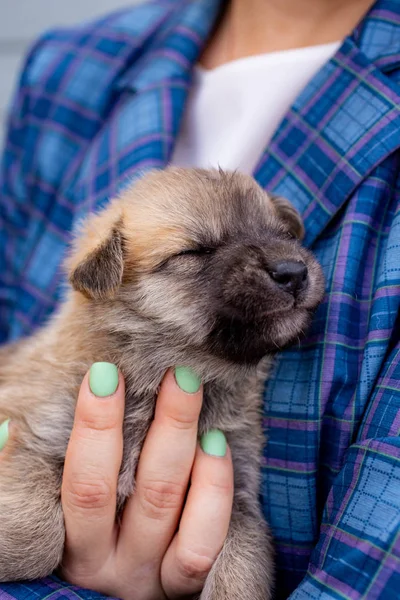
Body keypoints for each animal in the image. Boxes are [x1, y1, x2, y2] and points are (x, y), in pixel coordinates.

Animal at [0, 166, 324, 596]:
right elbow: (38, 534)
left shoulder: (236, 496)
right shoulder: (34, 433)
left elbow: (241, 567)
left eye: (284, 234)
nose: (293, 271)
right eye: (194, 252)